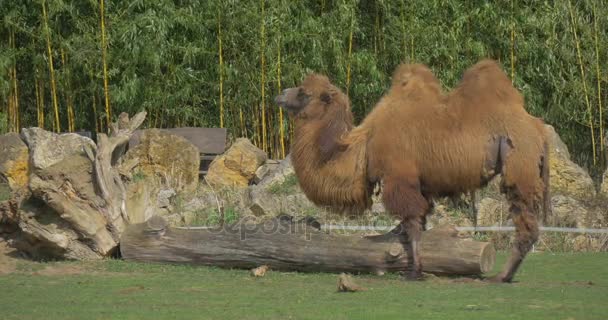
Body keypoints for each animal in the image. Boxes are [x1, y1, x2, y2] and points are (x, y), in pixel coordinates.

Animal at [276, 60, 552, 282]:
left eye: (303, 92)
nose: (279, 94)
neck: (363, 145)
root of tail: (539, 129)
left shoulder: (399, 178)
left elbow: (412, 223)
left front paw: (414, 272)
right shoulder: (421, 185)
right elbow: (420, 222)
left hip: (519, 165)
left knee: (526, 225)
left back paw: (502, 276)